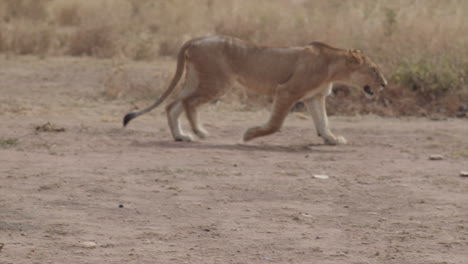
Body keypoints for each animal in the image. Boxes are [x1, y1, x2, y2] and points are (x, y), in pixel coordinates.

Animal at [122, 35, 386, 144]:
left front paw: (332, 139)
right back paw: (199, 132)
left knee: (172, 104)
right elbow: (276, 124)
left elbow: (323, 122)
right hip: (218, 83)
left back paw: (181, 136)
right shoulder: (287, 91)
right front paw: (249, 135)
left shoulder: (315, 97)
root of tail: (195, 40)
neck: (333, 65)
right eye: (374, 70)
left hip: (197, 80)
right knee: (187, 103)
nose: (384, 84)